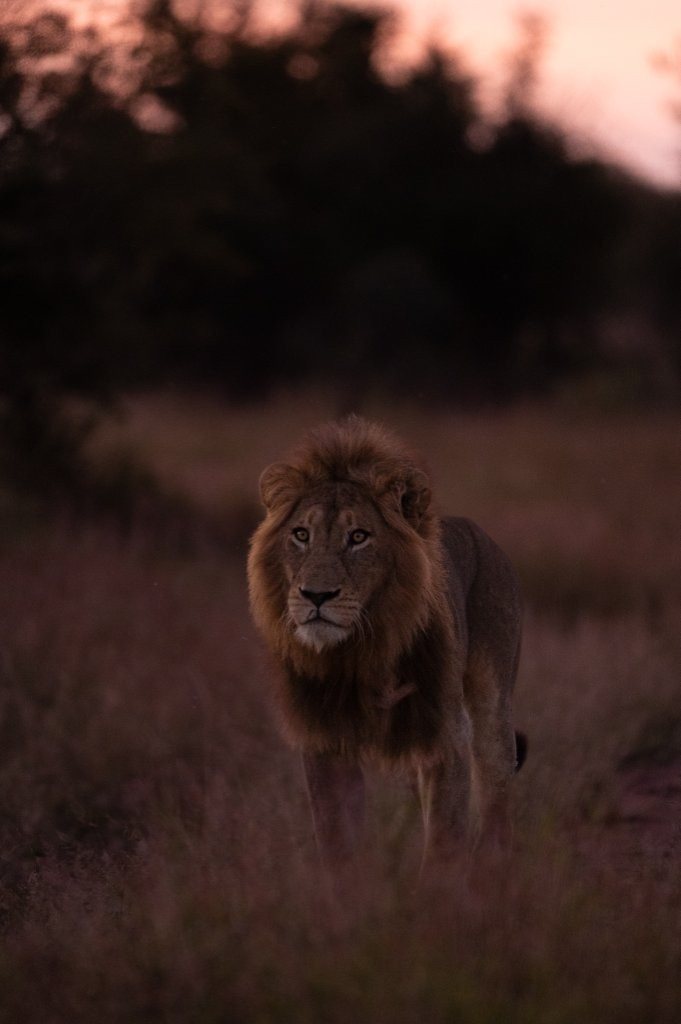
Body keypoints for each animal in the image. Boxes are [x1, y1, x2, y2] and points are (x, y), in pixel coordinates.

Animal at [247, 416, 525, 876]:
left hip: (491, 713)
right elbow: (338, 845)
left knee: (496, 804)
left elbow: (444, 842)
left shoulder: (446, 737)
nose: (315, 596)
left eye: (359, 536)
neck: (357, 654)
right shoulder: (324, 741)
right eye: (301, 534)